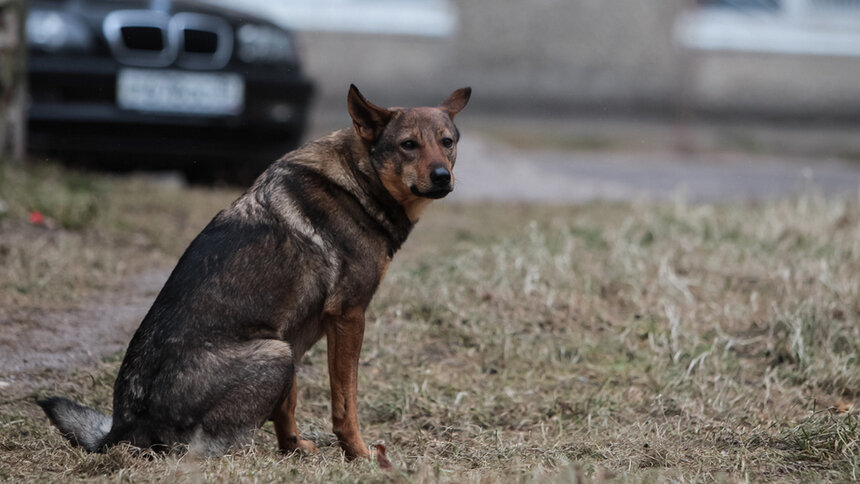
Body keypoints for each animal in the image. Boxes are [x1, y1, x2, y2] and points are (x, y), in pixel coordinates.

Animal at [38, 84, 470, 466]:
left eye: (447, 142)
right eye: (408, 145)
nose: (442, 177)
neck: (357, 178)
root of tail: (122, 429)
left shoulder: (296, 333)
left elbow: (288, 406)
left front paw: (293, 450)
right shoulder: (347, 317)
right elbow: (345, 404)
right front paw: (360, 456)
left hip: (282, 351)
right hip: (275, 355)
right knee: (196, 451)